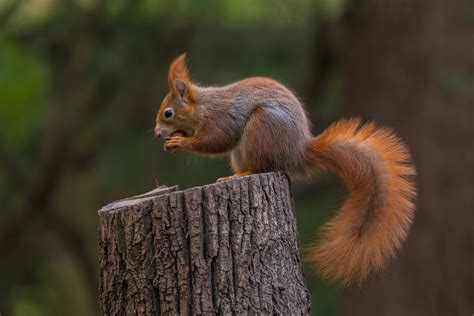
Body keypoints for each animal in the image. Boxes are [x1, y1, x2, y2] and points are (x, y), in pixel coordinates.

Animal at [155, 53, 414, 286]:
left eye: (168, 113)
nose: (157, 133)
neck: (201, 106)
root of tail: (296, 153)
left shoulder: (220, 119)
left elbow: (216, 141)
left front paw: (181, 142)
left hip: (261, 128)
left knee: (262, 166)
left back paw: (243, 174)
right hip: (242, 150)